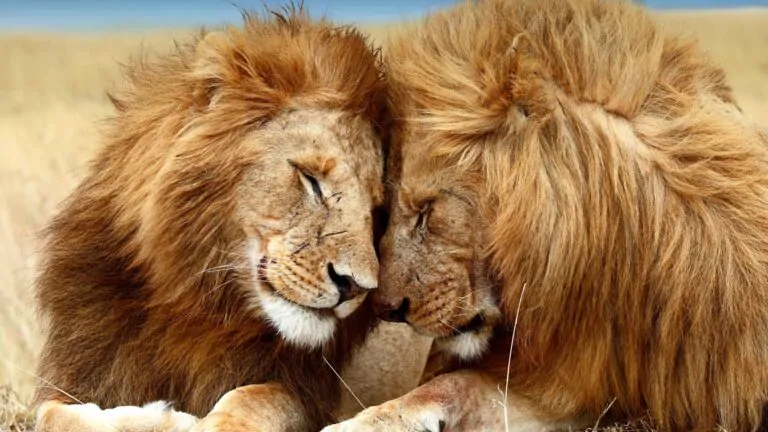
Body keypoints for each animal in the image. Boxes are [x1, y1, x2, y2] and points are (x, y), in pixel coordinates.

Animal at [32, 7, 389, 432]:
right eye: (310, 179)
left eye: (376, 210)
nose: (356, 287)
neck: (196, 301)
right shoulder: (81, 372)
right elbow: (53, 414)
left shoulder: (305, 392)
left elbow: (251, 401)